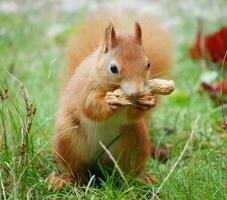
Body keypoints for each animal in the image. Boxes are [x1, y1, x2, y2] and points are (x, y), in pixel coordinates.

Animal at [53, 10, 173, 182]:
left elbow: (132, 114)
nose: (136, 92)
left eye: (148, 64)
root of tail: (100, 164)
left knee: (130, 171)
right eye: (113, 68)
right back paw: (67, 180)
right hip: (68, 138)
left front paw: (148, 102)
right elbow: (89, 107)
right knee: (76, 170)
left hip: (136, 141)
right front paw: (111, 103)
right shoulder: (84, 90)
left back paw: (142, 179)